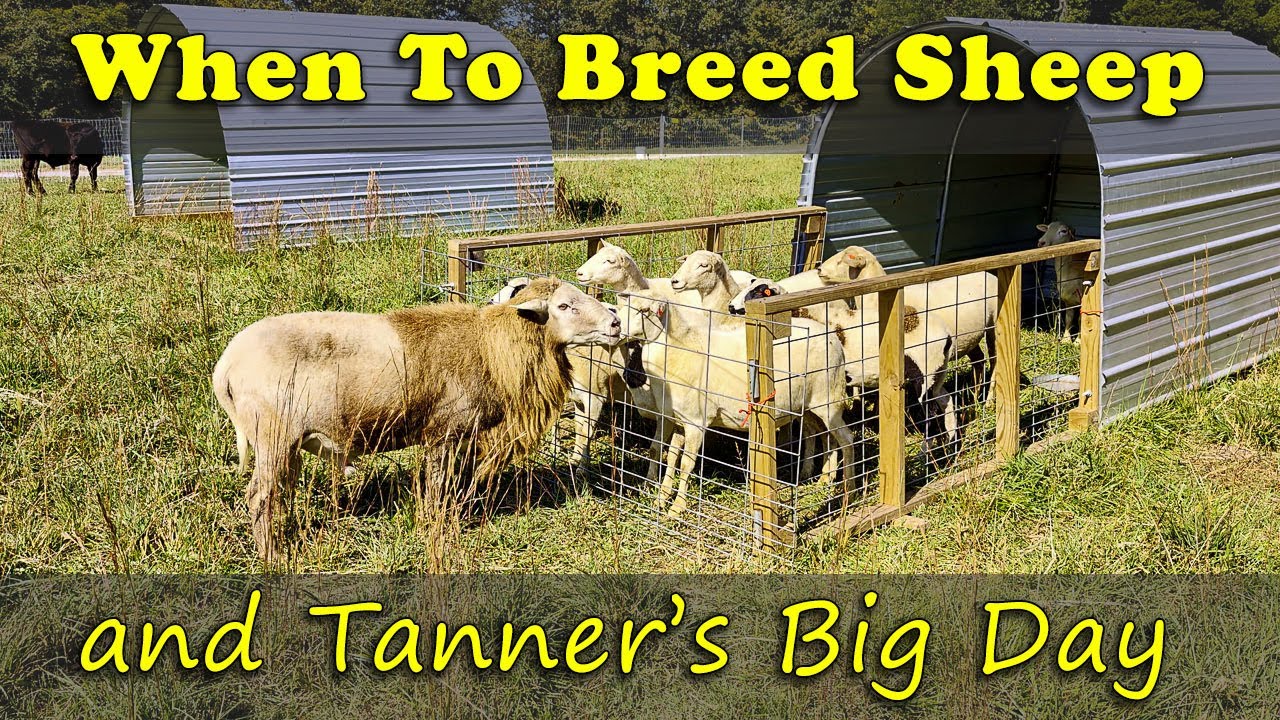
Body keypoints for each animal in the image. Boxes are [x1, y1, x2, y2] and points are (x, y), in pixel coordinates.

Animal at [213, 277, 622, 560]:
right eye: (565, 306)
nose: (615, 323)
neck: (491, 347)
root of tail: (227, 365)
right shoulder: (445, 430)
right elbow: (439, 485)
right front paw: (438, 527)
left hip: (285, 442)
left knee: (277, 493)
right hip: (272, 434)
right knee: (259, 496)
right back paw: (273, 554)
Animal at [617, 292, 857, 517]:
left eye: (644, 310)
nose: (617, 328)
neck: (680, 350)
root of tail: (834, 339)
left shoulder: (695, 422)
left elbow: (686, 463)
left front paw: (676, 508)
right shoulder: (675, 419)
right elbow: (666, 454)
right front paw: (660, 498)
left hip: (829, 399)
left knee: (846, 439)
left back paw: (849, 491)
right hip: (807, 406)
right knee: (822, 434)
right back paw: (822, 478)